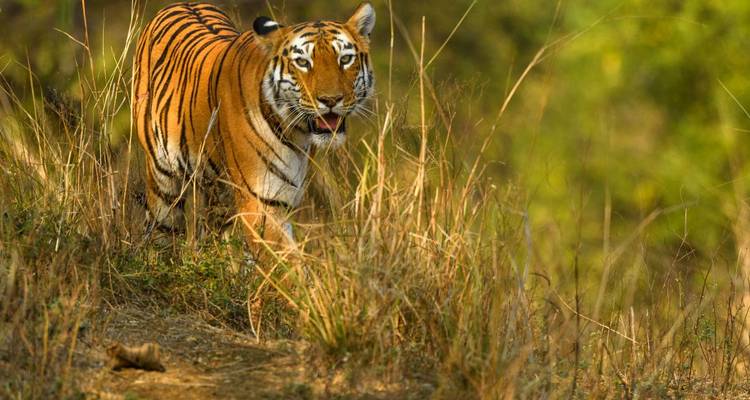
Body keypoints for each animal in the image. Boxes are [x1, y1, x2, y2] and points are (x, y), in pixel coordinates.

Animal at [132, 2, 375, 251]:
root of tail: (180, 4)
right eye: (302, 62)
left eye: (345, 59)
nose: (330, 100)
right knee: (162, 229)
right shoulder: (262, 202)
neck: (297, 133)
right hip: (164, 185)